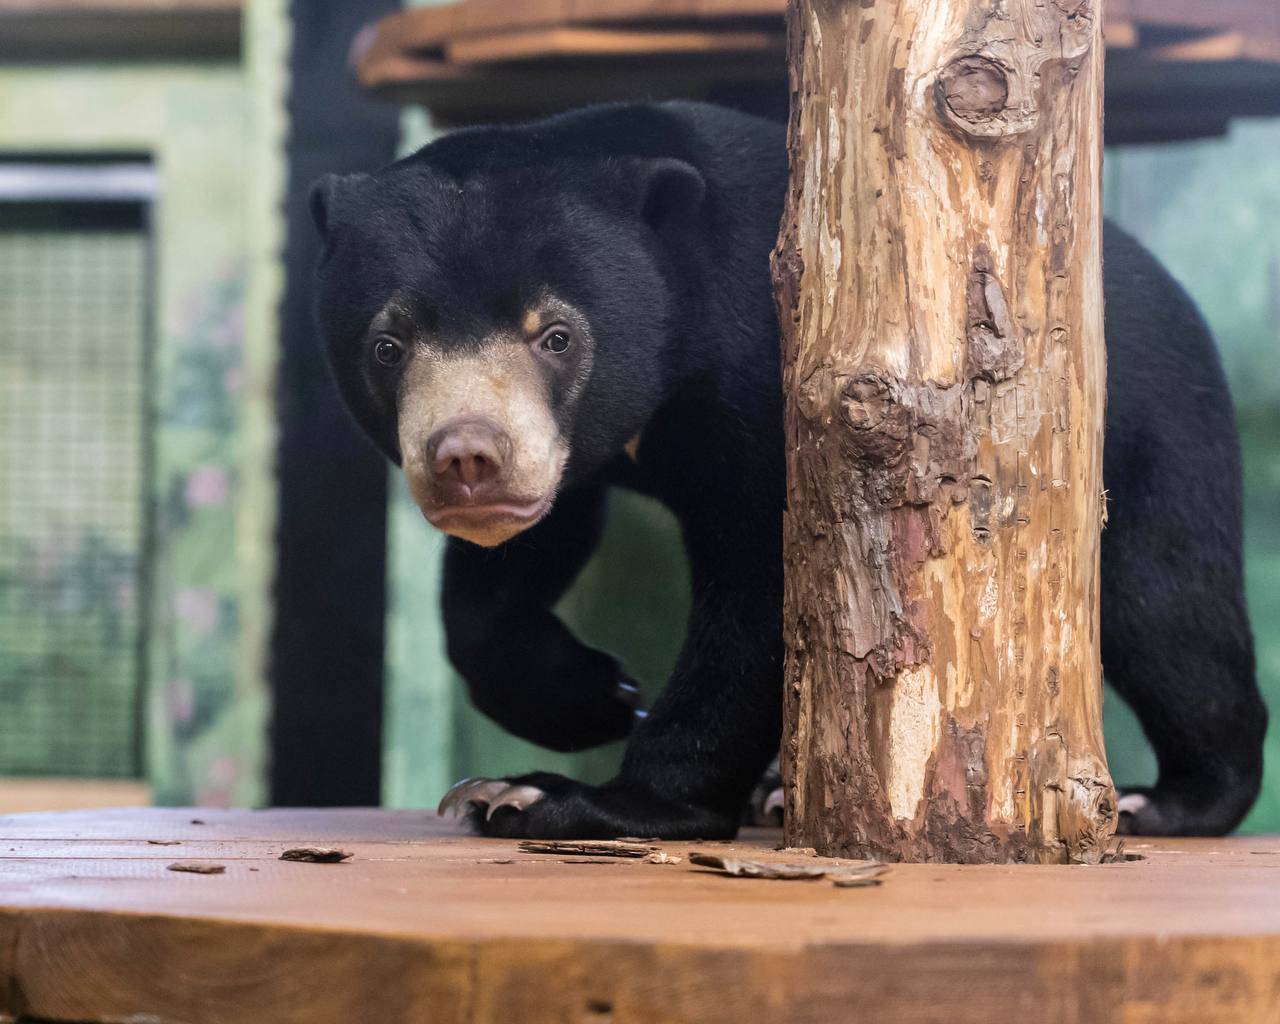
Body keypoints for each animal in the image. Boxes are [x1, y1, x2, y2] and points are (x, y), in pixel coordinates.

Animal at [307, 101, 1259, 839]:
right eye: (387, 345)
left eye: (559, 335)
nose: (467, 457)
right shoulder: (579, 454)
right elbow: (513, 570)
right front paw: (586, 699)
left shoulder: (773, 383)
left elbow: (765, 590)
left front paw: (569, 799)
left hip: (1152, 434)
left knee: (1167, 610)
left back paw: (1168, 802)